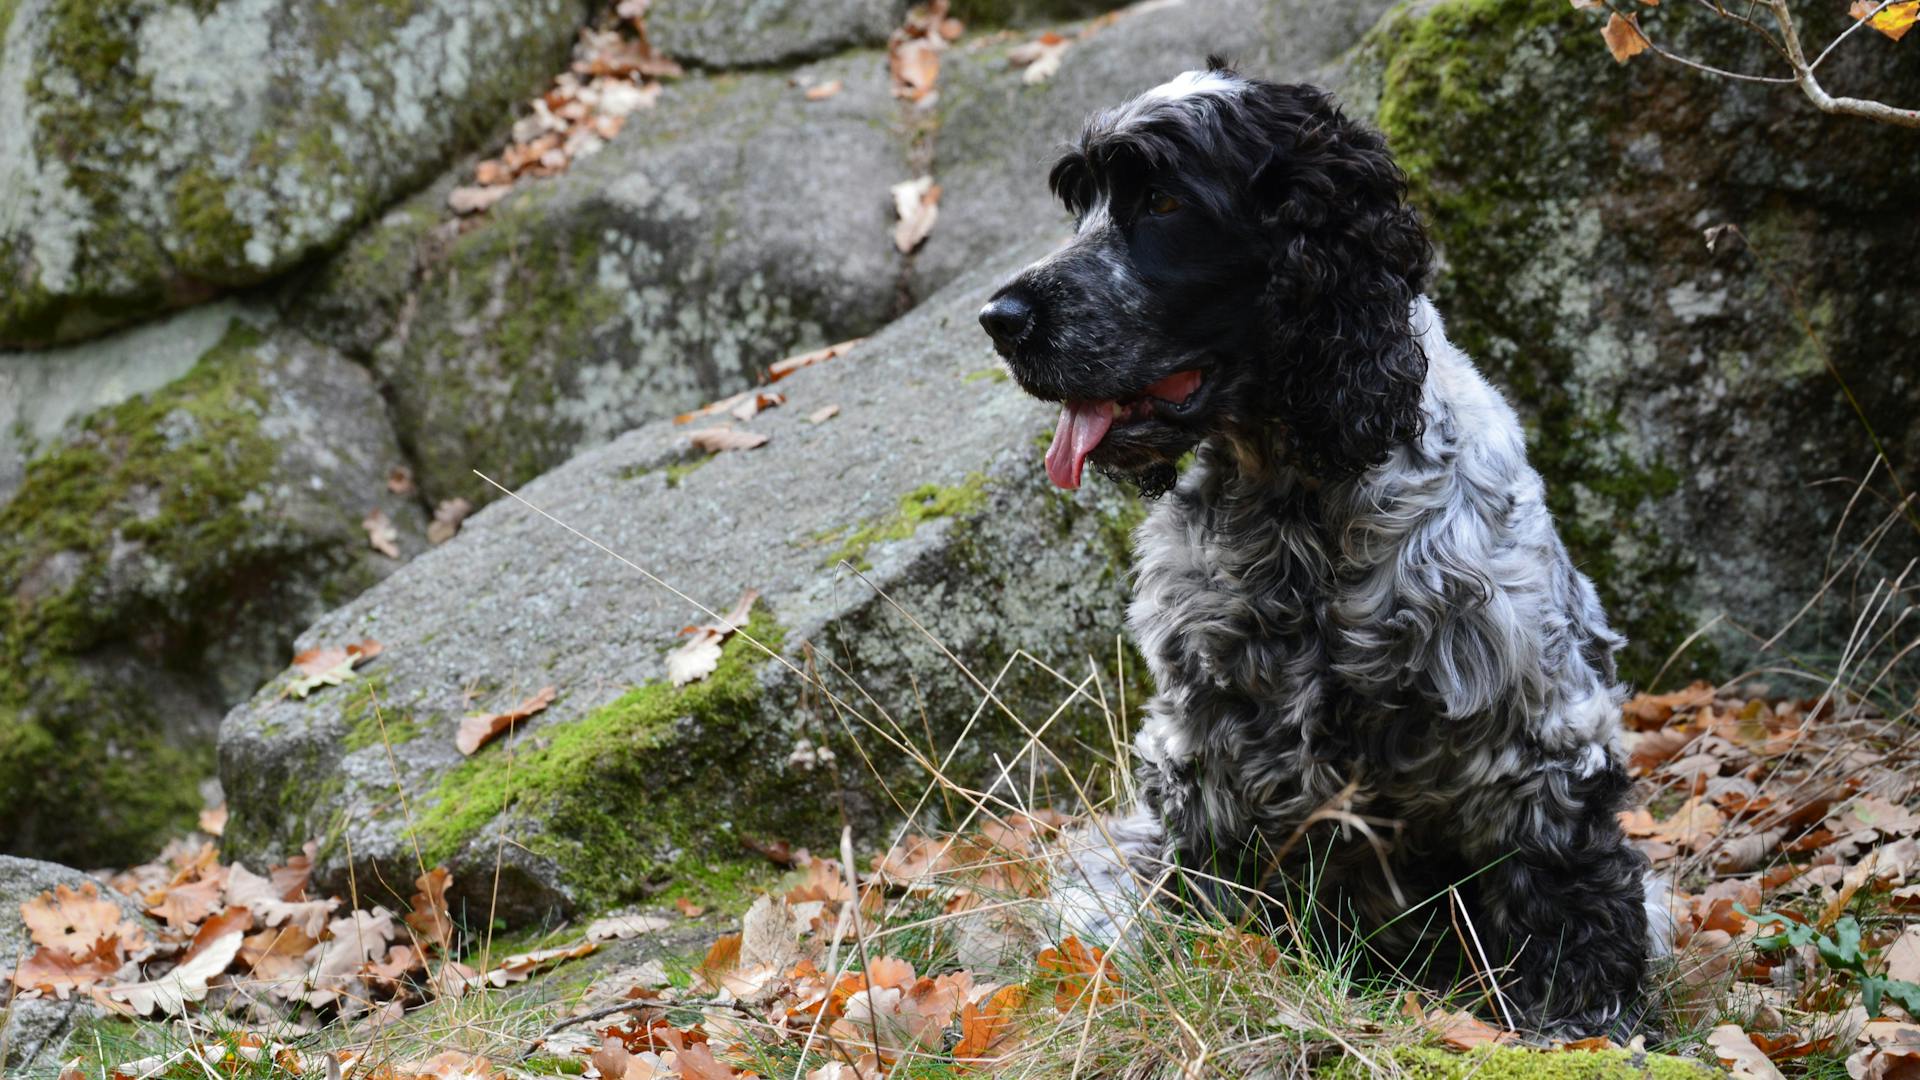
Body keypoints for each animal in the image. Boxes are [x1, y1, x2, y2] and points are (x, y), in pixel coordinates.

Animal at [975, 65, 1666, 1037]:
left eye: (1163, 201)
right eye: (1082, 205)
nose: (997, 317)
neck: (1299, 499)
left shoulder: (1529, 727)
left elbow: (1566, 884)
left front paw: (1584, 1022)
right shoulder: (1206, 735)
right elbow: (1210, 879)